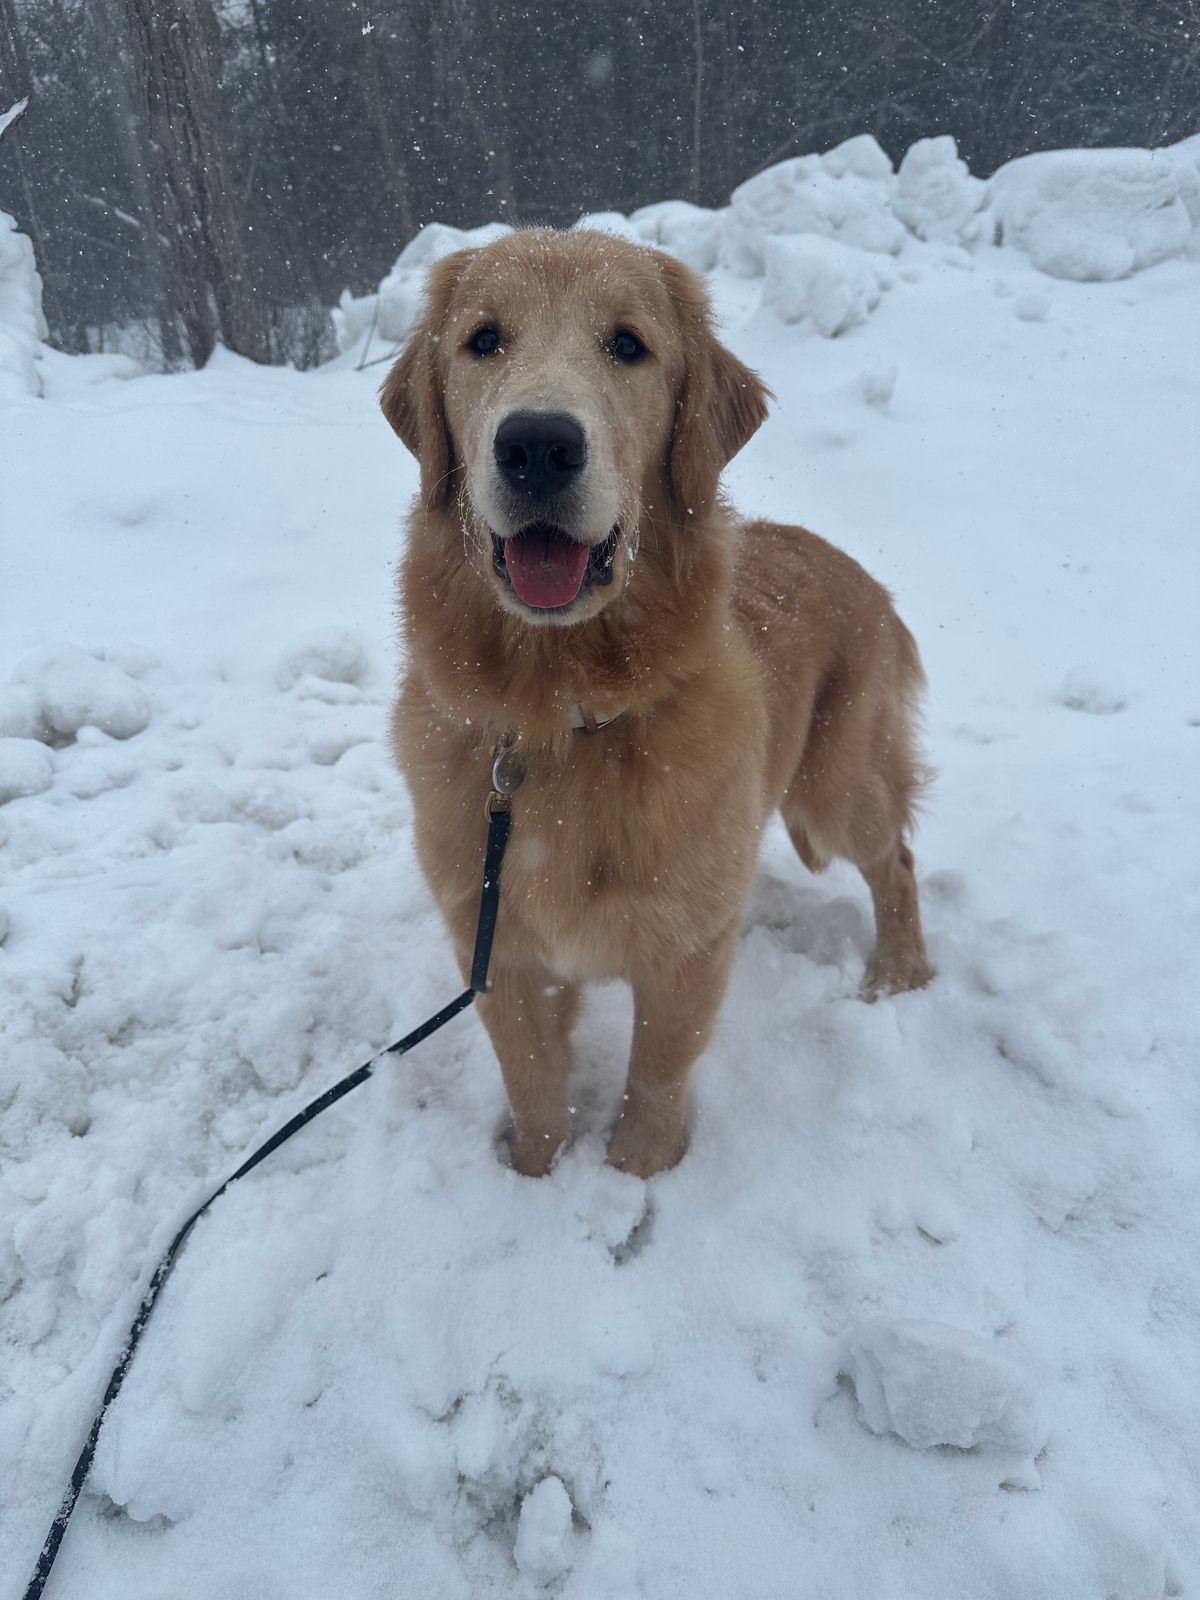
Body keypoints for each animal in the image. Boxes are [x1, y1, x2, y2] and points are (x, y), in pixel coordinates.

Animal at [381, 228, 932, 1179]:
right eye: (484, 339)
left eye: (629, 345)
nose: (537, 445)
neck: (563, 717)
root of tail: (863, 574)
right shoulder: (498, 951)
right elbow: (533, 1085)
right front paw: (535, 1179)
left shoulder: (686, 952)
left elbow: (655, 1082)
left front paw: (632, 1179)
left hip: (834, 792)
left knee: (894, 860)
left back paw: (898, 974)